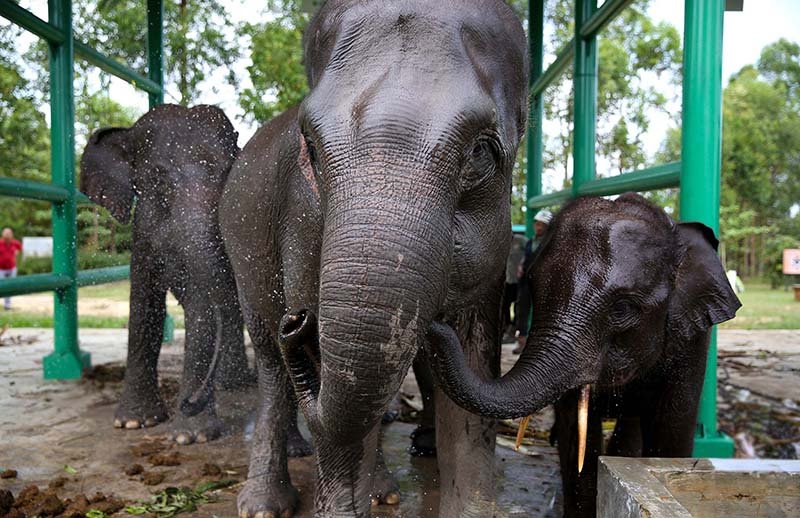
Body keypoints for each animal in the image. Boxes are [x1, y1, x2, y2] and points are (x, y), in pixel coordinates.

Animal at [81, 104, 257, 445]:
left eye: (229, 176)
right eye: (157, 181)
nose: (189, 402)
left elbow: (202, 305)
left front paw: (192, 437)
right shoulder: (142, 233)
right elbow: (144, 306)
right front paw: (134, 423)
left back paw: (236, 385)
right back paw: (229, 384)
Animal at [219, 1, 529, 516]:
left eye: (481, 152)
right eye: (310, 148)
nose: (296, 323)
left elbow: (473, 367)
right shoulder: (301, 218)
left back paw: (383, 489)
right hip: (242, 256)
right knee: (270, 364)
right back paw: (264, 504)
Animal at [424, 193, 742, 517]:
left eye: (622, 308)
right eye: (534, 286)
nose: (436, 317)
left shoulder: (690, 343)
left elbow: (671, 431)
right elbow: (577, 438)